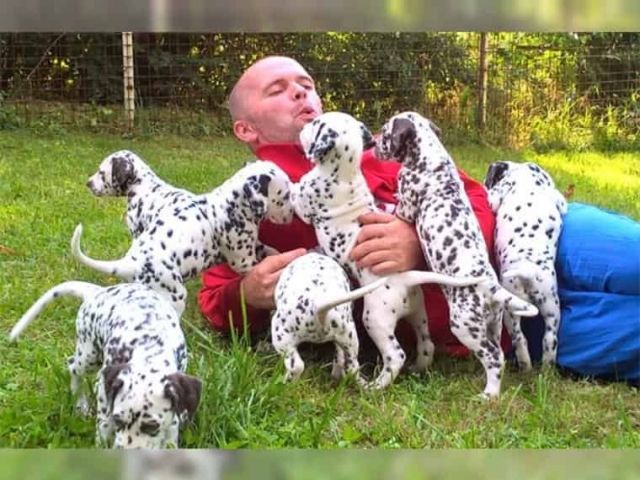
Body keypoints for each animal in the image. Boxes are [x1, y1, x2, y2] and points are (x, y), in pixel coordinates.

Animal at [8, 280, 201, 448]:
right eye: (118, 420)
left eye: (151, 426)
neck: (149, 349)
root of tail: (98, 291)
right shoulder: (107, 403)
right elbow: (103, 427)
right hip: (89, 355)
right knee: (73, 367)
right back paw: (80, 404)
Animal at [74, 150, 292, 316]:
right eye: (286, 196)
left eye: (101, 173)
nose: (88, 183)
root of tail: (130, 263)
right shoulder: (243, 262)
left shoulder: (251, 246)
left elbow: (269, 250)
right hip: (174, 295)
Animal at [294, 112, 484, 390]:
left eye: (317, 124)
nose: (305, 124)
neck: (345, 173)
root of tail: (406, 278)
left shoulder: (304, 202)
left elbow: (293, 192)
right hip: (418, 314)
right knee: (426, 344)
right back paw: (418, 368)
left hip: (376, 320)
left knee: (396, 355)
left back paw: (376, 385)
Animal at [378, 111, 536, 398]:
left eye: (385, 133)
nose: (373, 144)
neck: (431, 157)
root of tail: (490, 285)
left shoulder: (406, 208)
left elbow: (393, 207)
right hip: (492, 323)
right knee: (499, 352)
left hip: (465, 325)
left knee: (494, 358)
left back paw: (489, 395)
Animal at [482, 160, 568, 368]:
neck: (528, 177)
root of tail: (527, 271)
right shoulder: (559, 199)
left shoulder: (498, 193)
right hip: (552, 308)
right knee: (549, 339)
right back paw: (545, 367)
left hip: (510, 311)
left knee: (519, 337)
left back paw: (525, 364)